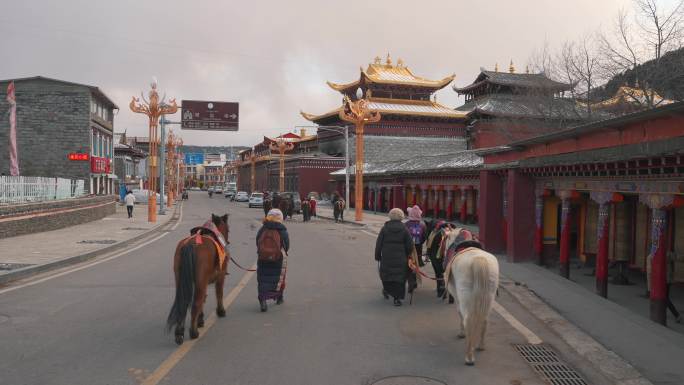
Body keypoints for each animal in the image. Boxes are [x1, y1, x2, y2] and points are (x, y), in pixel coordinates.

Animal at [167, 213, 231, 344]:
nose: (227, 242)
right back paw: (193, 332)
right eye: (228, 229)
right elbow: (219, 293)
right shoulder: (220, 276)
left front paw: (200, 320)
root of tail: (191, 244)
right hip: (201, 281)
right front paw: (220, 311)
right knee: (196, 303)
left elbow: (203, 299)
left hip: (181, 280)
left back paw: (179, 333)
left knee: (184, 302)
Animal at [444, 228, 496, 366]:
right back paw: (480, 346)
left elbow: (459, 313)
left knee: (468, 320)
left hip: (465, 298)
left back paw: (469, 357)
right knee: (484, 320)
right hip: (489, 297)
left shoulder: (456, 296)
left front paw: (461, 333)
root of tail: (479, 259)